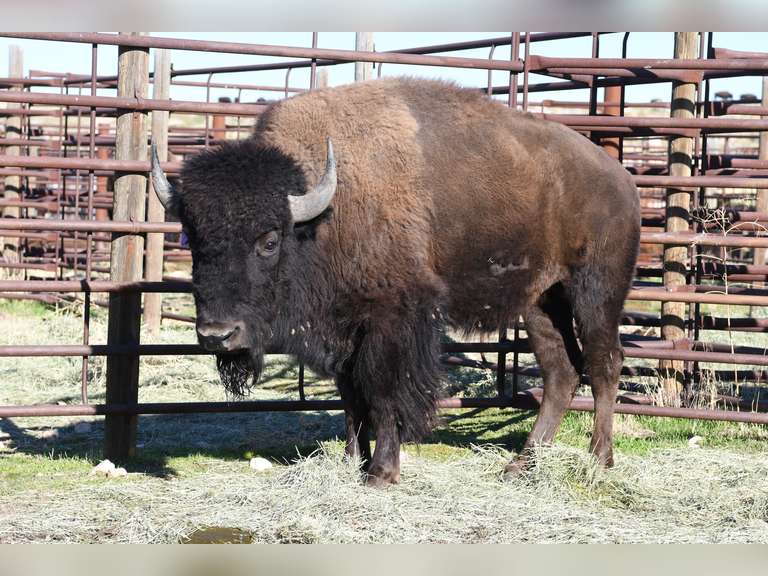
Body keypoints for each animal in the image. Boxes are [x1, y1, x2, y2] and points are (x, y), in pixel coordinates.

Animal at [151, 77, 640, 487]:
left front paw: (381, 473)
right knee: (561, 372)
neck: (323, 214)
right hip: (540, 301)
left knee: (604, 363)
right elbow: (350, 397)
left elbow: (382, 391)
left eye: (269, 241)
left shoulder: (392, 321)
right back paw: (521, 465)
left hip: (596, 291)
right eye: (192, 238)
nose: (218, 335)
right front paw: (352, 461)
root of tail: (620, 178)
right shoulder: (343, 329)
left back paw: (599, 459)